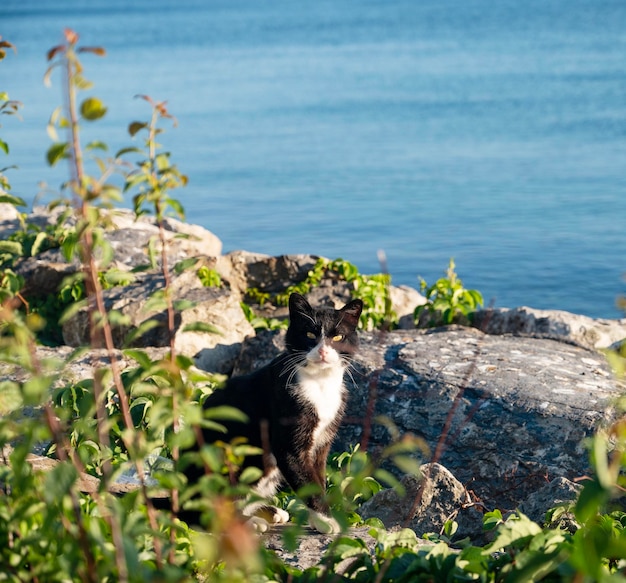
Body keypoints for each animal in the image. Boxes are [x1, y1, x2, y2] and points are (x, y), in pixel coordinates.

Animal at [182, 292, 360, 532]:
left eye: (339, 337)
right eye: (309, 334)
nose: (323, 351)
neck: (320, 384)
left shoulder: (322, 442)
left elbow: (318, 478)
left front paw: (319, 520)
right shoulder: (288, 442)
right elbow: (307, 481)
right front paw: (327, 521)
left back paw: (271, 512)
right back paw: (249, 523)